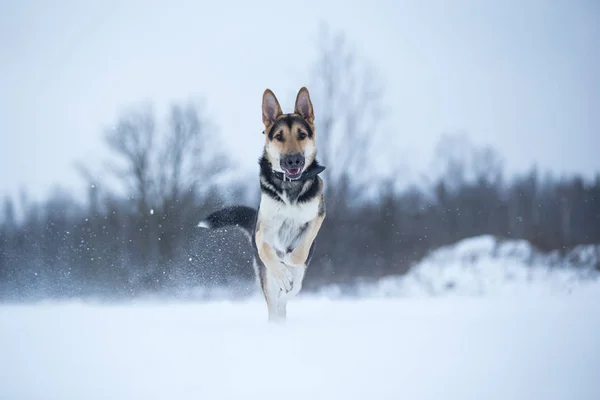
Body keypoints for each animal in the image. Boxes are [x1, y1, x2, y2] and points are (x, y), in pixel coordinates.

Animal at [199, 87, 326, 322]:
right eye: (279, 136)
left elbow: (301, 249)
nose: (293, 160)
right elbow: (267, 251)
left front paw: (291, 260)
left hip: (300, 277)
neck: (290, 186)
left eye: (302, 135)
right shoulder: (263, 230)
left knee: (289, 293)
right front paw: (281, 271)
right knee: (274, 302)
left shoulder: (317, 216)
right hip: (264, 275)